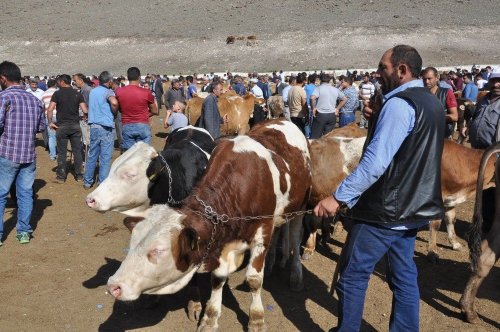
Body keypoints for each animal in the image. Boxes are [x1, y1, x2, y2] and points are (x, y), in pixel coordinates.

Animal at [107, 118, 310, 330]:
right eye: (132, 243)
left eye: (158, 250)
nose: (113, 285)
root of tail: (280, 119)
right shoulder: (221, 242)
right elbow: (218, 279)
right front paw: (210, 318)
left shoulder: (261, 231)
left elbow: (254, 279)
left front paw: (256, 319)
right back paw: (270, 265)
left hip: (301, 207)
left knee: (295, 237)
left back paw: (296, 275)